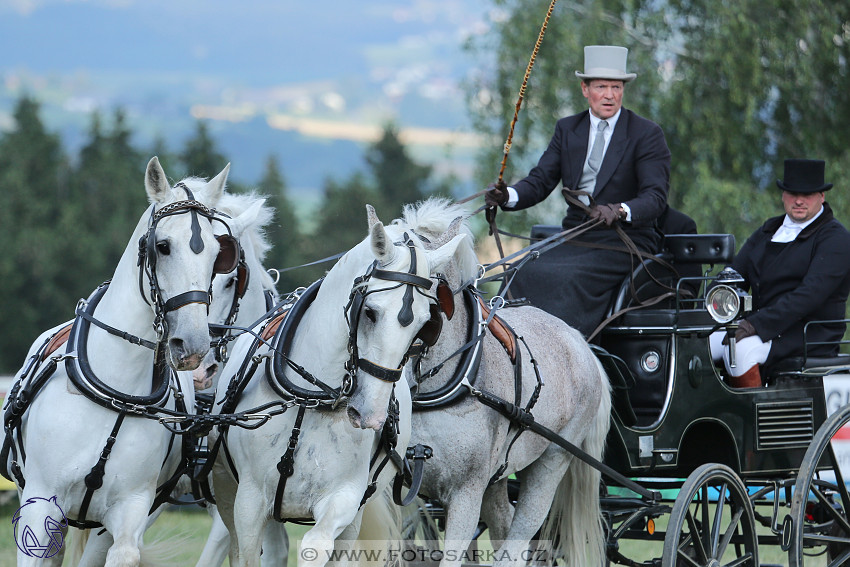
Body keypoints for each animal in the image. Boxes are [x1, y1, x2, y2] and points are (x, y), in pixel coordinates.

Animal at [5, 158, 238, 567]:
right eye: (162, 246)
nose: (193, 345)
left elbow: (126, 551)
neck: (118, 392)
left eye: (216, 255)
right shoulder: (40, 504)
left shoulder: (130, 510)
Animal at [210, 205, 464, 567]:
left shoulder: (346, 497)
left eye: (424, 325)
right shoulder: (249, 501)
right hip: (225, 487)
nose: (371, 416)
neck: (316, 399)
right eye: (370, 312)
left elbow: (316, 545)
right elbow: (245, 552)